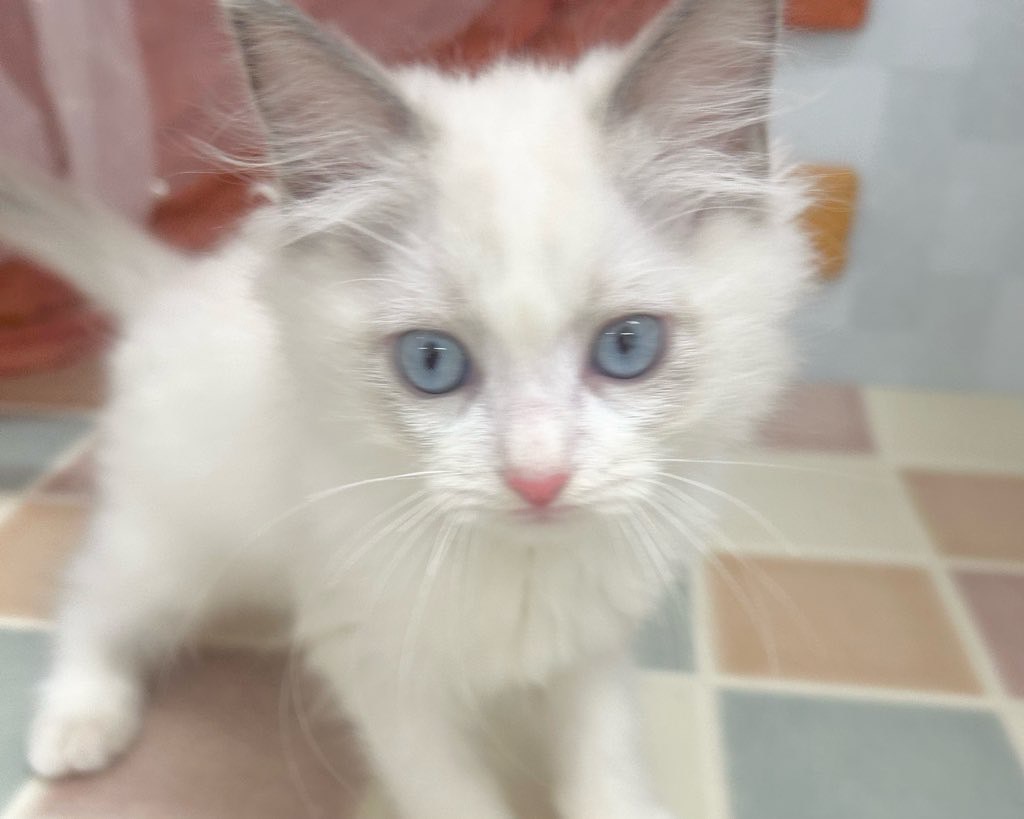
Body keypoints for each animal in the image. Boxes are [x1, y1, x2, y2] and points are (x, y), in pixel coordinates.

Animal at [0, 0, 812, 816]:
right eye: (432, 362)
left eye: (627, 346)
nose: (538, 479)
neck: (522, 569)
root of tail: (174, 283)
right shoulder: (376, 663)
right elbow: (452, 794)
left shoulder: (593, 650)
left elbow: (606, 770)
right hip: (172, 549)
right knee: (92, 598)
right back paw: (78, 723)